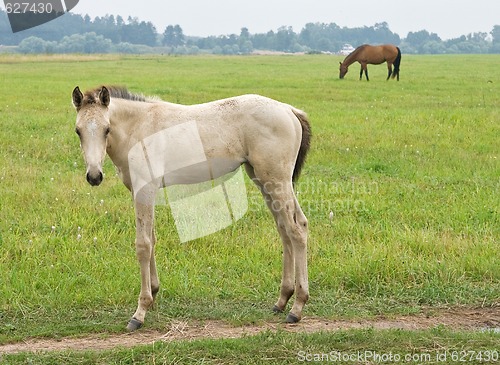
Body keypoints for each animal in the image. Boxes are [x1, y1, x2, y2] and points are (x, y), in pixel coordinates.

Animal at [72, 85, 310, 330]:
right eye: (78, 131)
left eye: (107, 129)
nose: (94, 176)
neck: (138, 127)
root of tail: (289, 110)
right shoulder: (142, 191)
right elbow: (152, 239)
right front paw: (154, 294)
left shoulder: (144, 190)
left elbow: (143, 245)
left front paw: (140, 311)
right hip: (264, 181)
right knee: (287, 228)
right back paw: (282, 300)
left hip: (277, 182)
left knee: (296, 230)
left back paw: (297, 307)